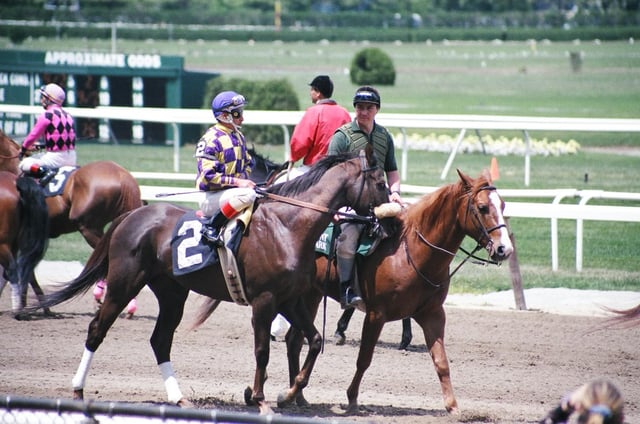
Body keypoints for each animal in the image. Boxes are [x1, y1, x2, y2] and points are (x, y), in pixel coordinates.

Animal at [36, 148, 390, 414]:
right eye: (379, 182)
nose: (384, 225)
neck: (286, 226)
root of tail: (133, 215)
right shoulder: (264, 300)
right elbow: (263, 350)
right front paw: (260, 399)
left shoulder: (289, 299)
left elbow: (314, 340)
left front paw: (288, 394)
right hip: (124, 284)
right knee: (97, 329)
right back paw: (78, 390)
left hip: (172, 293)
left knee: (160, 340)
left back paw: (178, 398)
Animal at [284, 168, 516, 414]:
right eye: (482, 207)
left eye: (502, 205)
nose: (504, 249)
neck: (410, 252)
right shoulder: (376, 315)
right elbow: (364, 359)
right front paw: (352, 398)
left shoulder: (432, 315)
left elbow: (441, 362)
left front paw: (453, 407)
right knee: (296, 340)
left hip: (311, 296)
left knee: (294, 341)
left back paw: (298, 397)